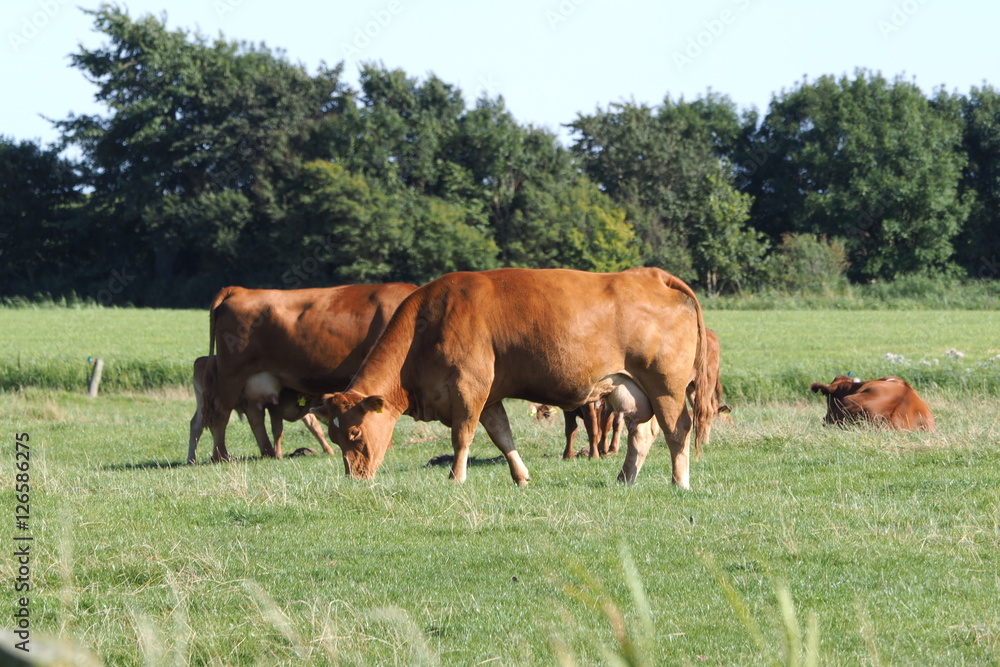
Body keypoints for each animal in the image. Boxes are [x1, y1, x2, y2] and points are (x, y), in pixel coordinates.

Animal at [199, 282, 418, 464]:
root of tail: (239, 289)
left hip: (253, 380)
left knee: (255, 416)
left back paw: (267, 452)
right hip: (232, 375)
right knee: (221, 414)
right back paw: (221, 456)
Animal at [312, 266, 712, 490]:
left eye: (355, 433)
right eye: (334, 435)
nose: (353, 478)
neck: (425, 326)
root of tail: (650, 275)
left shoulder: (468, 387)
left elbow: (463, 436)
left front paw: (456, 477)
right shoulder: (489, 397)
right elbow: (502, 436)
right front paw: (521, 477)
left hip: (666, 386)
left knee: (677, 429)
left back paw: (680, 482)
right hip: (628, 388)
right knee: (642, 432)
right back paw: (625, 479)